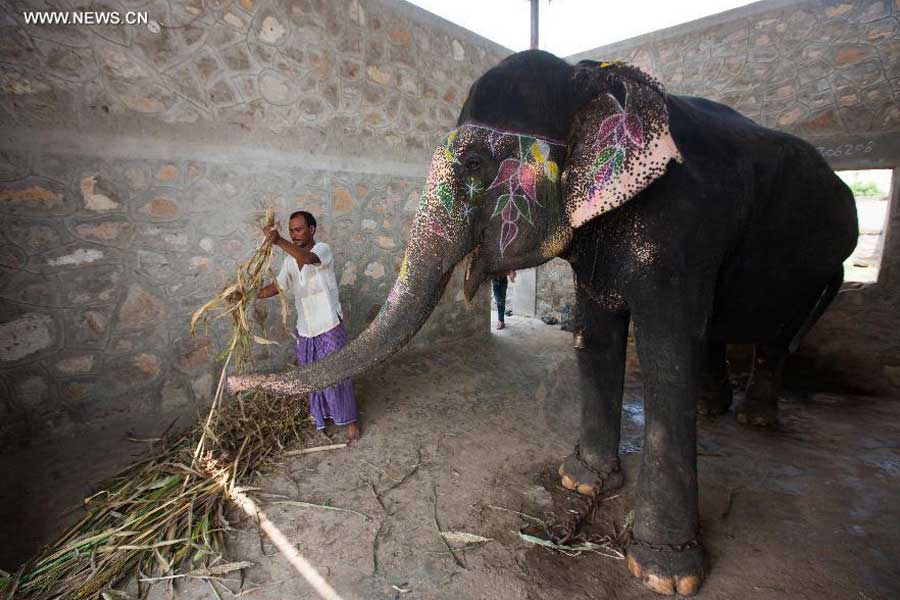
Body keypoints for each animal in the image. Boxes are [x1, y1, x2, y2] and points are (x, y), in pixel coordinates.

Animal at [230, 51, 856, 596]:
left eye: (476, 165)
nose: (233, 384)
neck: (590, 76)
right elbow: (596, 335)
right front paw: (580, 481)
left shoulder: (684, 230)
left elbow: (668, 353)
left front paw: (664, 574)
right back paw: (716, 411)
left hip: (821, 269)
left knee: (772, 339)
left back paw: (755, 422)